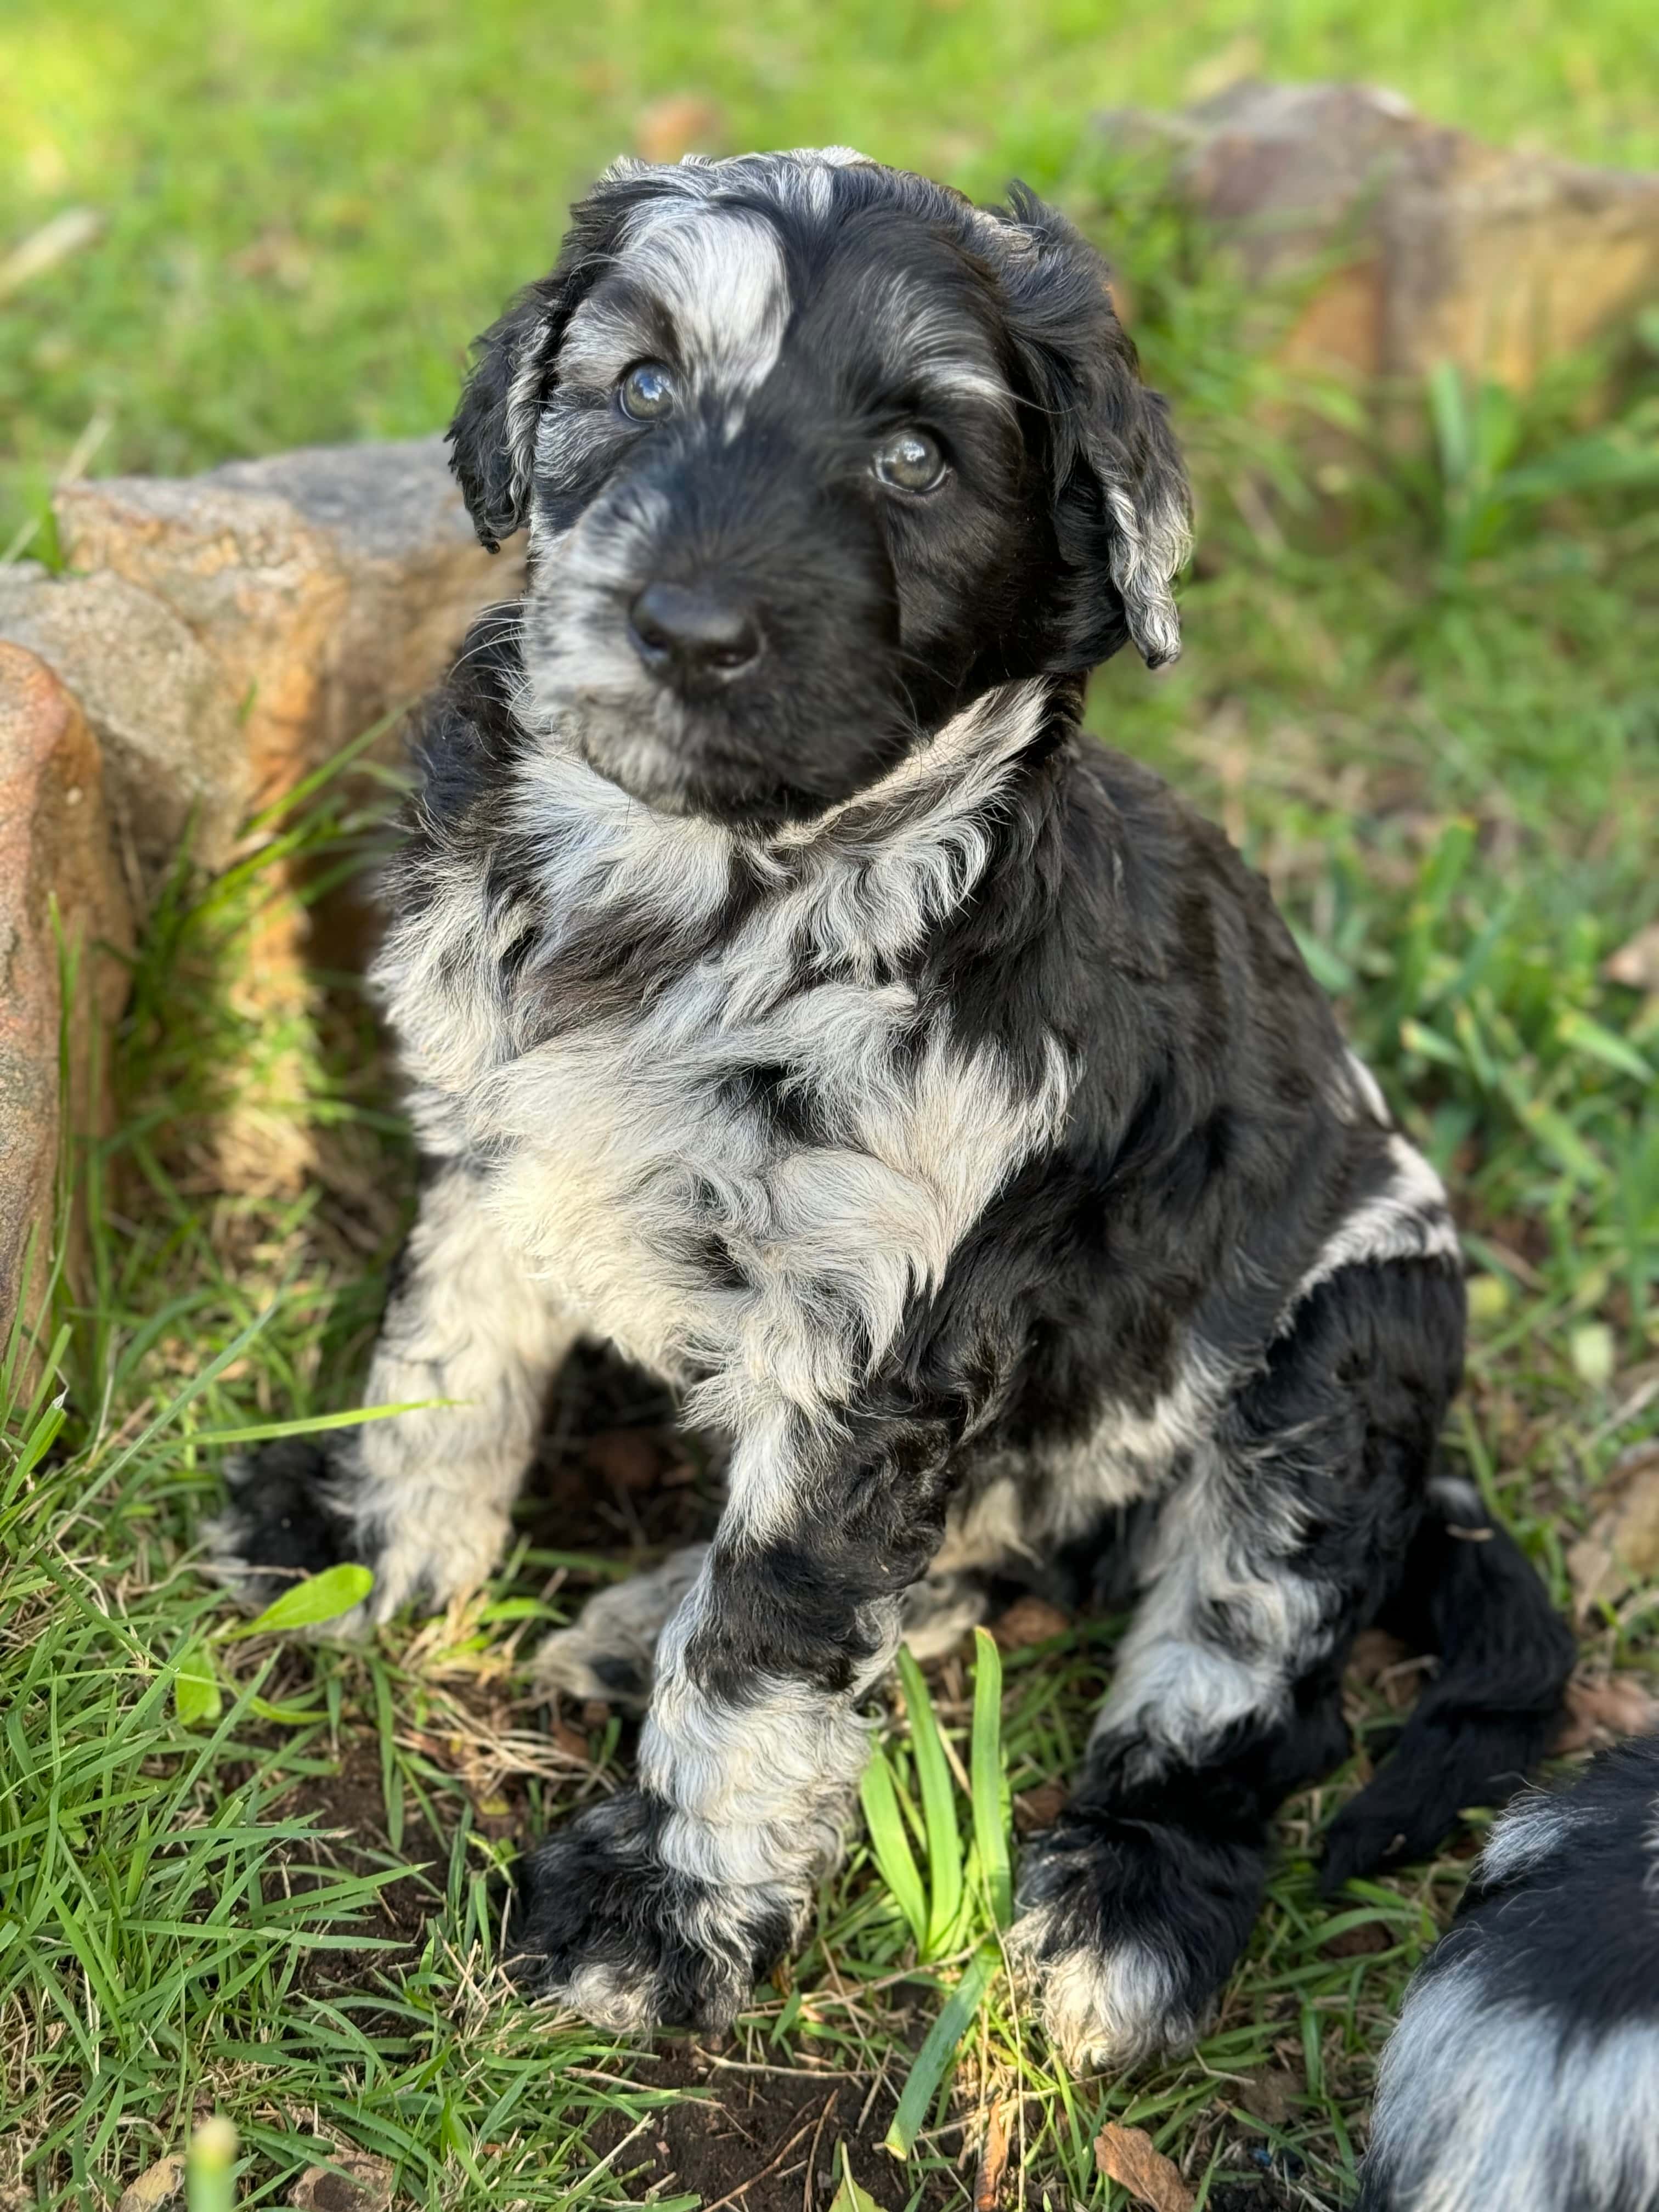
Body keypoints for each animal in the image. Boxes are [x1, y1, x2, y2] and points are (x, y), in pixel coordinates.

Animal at [201, 151, 1575, 2052]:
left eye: (918, 456)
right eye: (641, 386)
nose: (685, 628)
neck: (709, 899)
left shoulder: (882, 1331)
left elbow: (772, 1633)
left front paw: (666, 1906)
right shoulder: (498, 1146)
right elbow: (446, 1361)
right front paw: (367, 1545)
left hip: (1332, 1371)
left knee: (1240, 1677)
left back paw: (1125, 1907)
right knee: (985, 1572)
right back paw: (642, 1617)